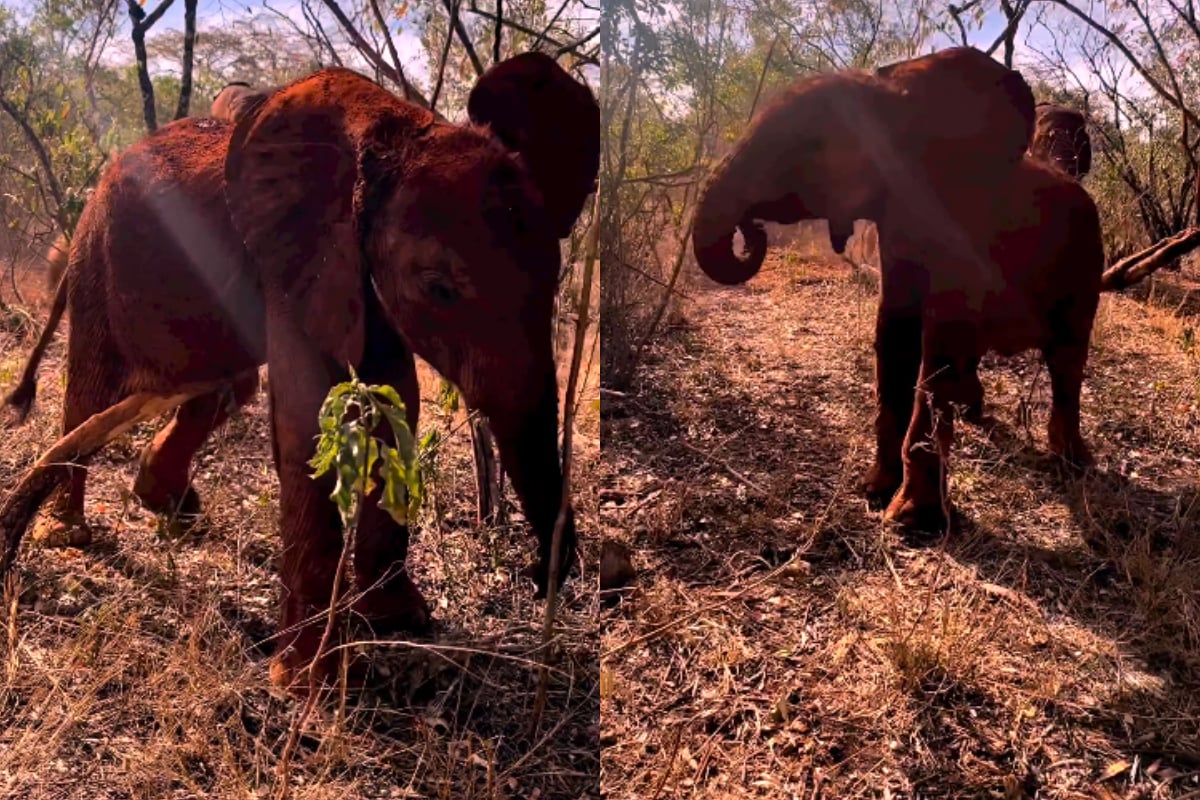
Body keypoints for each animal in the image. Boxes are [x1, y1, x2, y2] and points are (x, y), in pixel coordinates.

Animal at [1, 53, 600, 691]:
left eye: (556, 279)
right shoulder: (298, 255)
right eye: (439, 288)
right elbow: (309, 414)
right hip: (97, 254)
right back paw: (68, 533)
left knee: (223, 386)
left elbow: (397, 403)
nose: (539, 576)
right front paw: (307, 683)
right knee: (91, 391)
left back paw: (167, 504)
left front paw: (398, 623)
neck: (394, 128)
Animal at [691, 47, 1104, 532]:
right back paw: (975, 412)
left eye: (805, 147)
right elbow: (893, 330)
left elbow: (940, 342)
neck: (893, 94)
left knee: (1066, 360)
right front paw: (874, 490)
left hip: (1085, 265)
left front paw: (909, 521)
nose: (751, 228)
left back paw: (1071, 462)